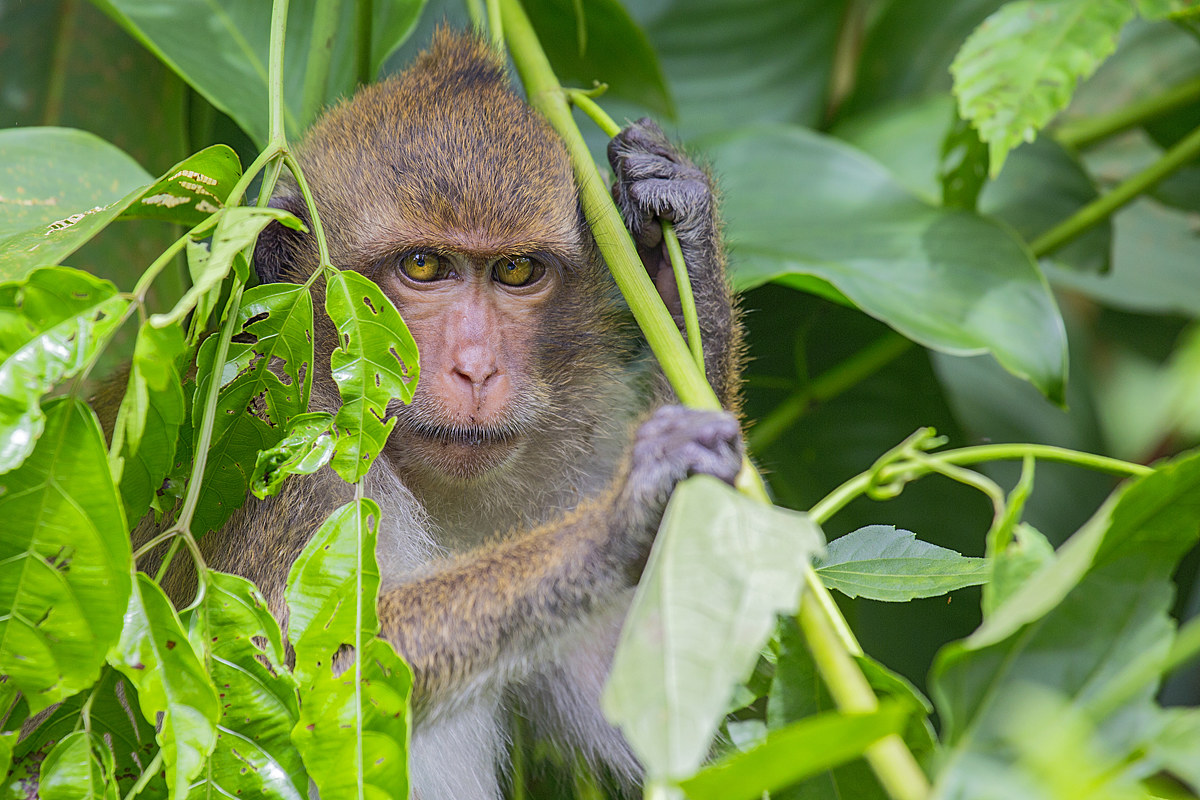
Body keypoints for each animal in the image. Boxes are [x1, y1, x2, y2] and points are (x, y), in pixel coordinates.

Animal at [166, 29, 743, 800]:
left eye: (517, 272)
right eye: (423, 266)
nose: (476, 369)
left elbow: (638, 702)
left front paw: (681, 234)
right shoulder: (281, 457)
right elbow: (277, 675)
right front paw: (621, 517)